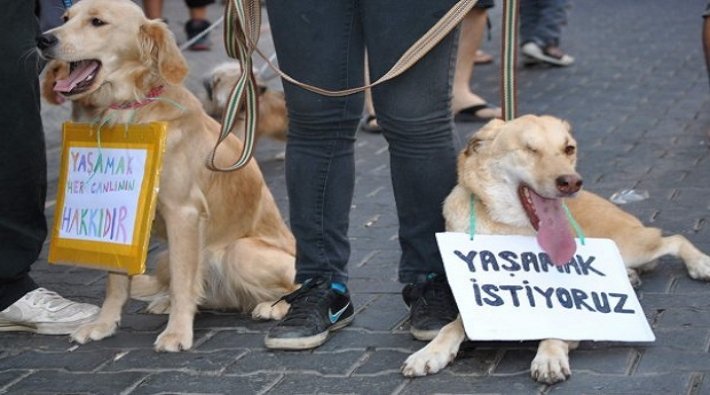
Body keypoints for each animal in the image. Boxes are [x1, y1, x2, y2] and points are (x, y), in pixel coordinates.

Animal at [36, 0, 298, 352]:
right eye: (65, 17)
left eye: (97, 22)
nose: (43, 39)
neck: (128, 111)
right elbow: (116, 283)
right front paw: (103, 324)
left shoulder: (183, 212)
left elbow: (184, 284)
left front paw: (177, 332)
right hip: (163, 256)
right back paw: (165, 302)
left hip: (239, 252)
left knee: (294, 286)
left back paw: (272, 306)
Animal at [400, 116, 710, 386]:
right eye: (529, 149)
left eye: (568, 148)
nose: (571, 182)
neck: (508, 228)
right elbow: (451, 326)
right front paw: (429, 353)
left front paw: (549, 356)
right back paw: (632, 275)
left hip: (632, 244)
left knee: (674, 238)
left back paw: (701, 264)